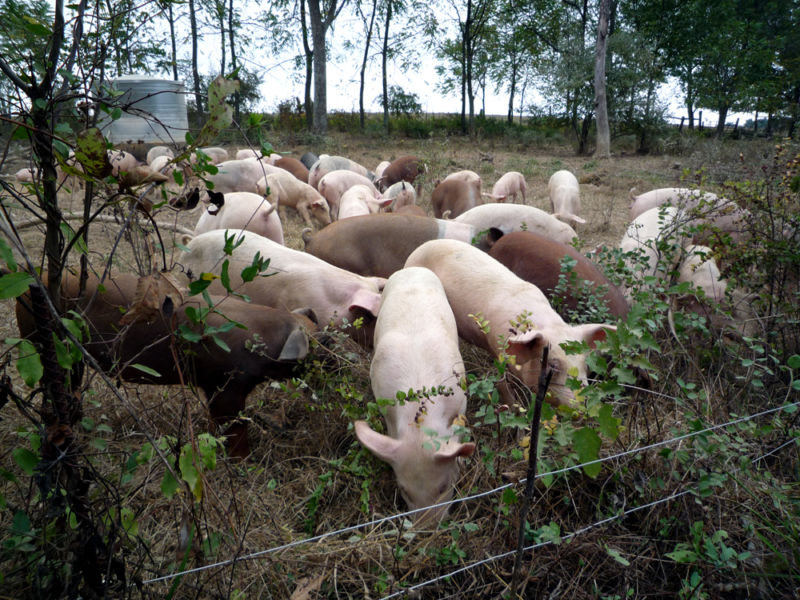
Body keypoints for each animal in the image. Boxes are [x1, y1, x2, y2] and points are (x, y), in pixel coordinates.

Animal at [14, 270, 316, 458]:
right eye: (320, 344)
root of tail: (32, 278)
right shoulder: (226, 386)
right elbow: (234, 426)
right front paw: (244, 461)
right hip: (39, 341)